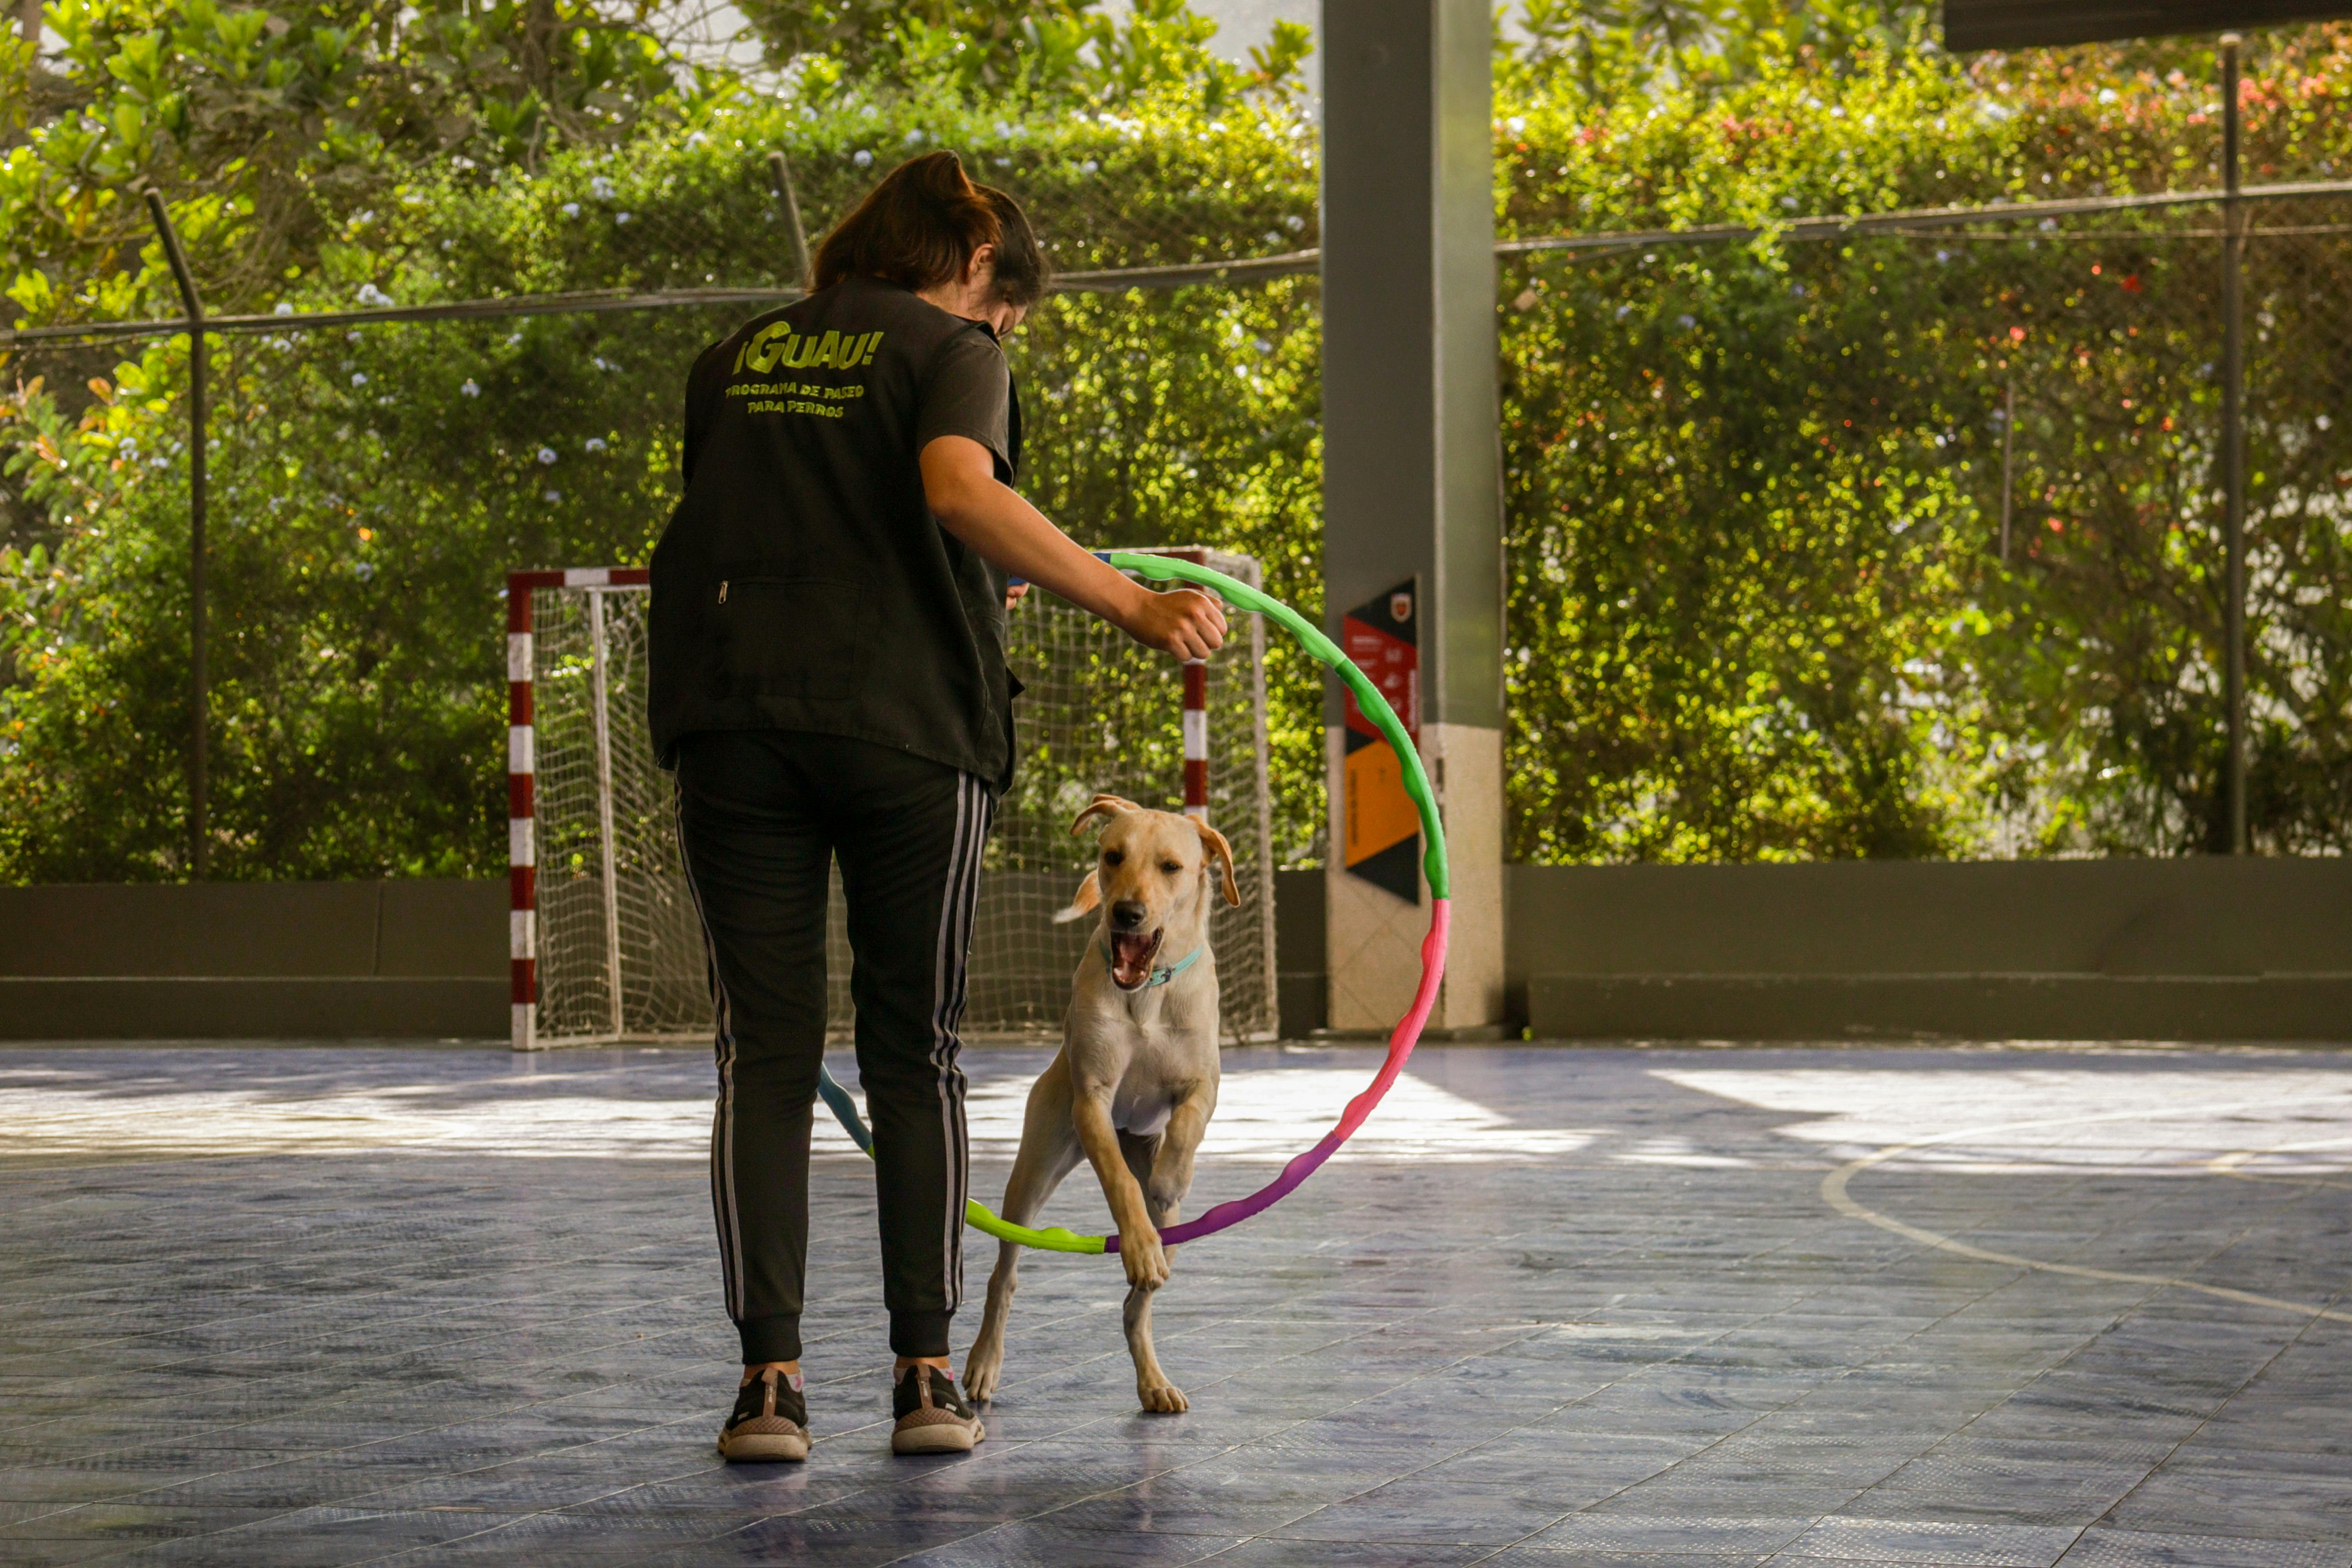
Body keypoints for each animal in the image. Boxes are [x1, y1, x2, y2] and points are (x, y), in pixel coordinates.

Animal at [964, 799, 1242, 1410]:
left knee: (1135, 1307)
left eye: (1171, 866)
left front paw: (1171, 1176)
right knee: (1005, 1274)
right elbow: (1117, 1180)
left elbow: (1188, 1124)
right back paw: (983, 1363)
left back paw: (1154, 1381)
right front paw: (1136, 1243)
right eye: (1113, 856)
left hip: (1173, 1228)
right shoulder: (1092, 1099)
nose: (1128, 913)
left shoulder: (1204, 1084)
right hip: (1036, 1168)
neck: (1150, 991)